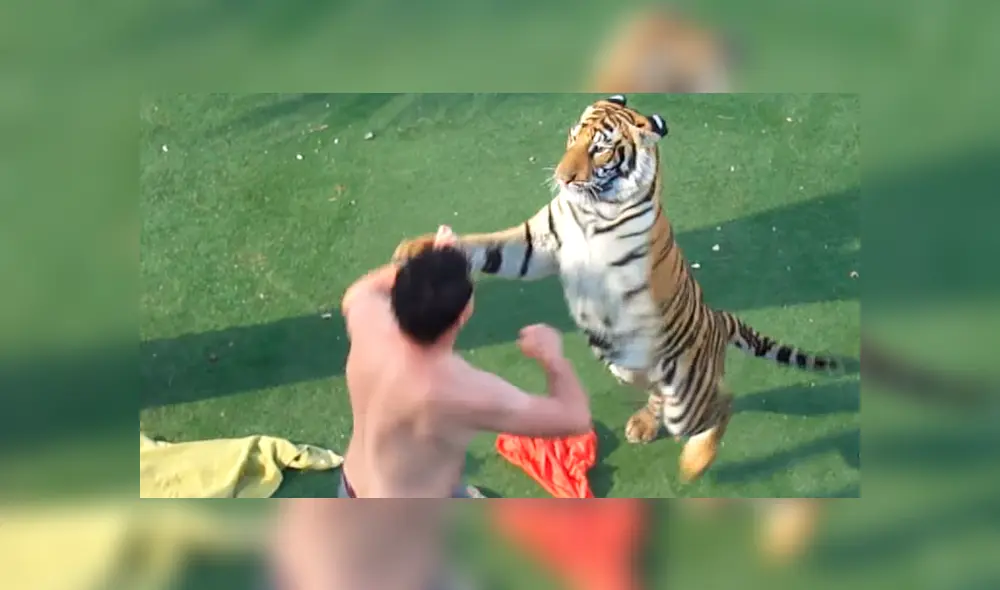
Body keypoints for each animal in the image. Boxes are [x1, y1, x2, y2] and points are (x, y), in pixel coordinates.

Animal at [391, 94, 843, 483]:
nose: (562, 177)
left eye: (600, 150)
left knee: (723, 402)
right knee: (665, 393)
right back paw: (645, 423)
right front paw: (424, 248)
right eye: (573, 138)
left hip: (687, 398)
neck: (591, 207)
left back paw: (695, 462)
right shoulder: (539, 244)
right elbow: (488, 246)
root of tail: (717, 320)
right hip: (633, 370)